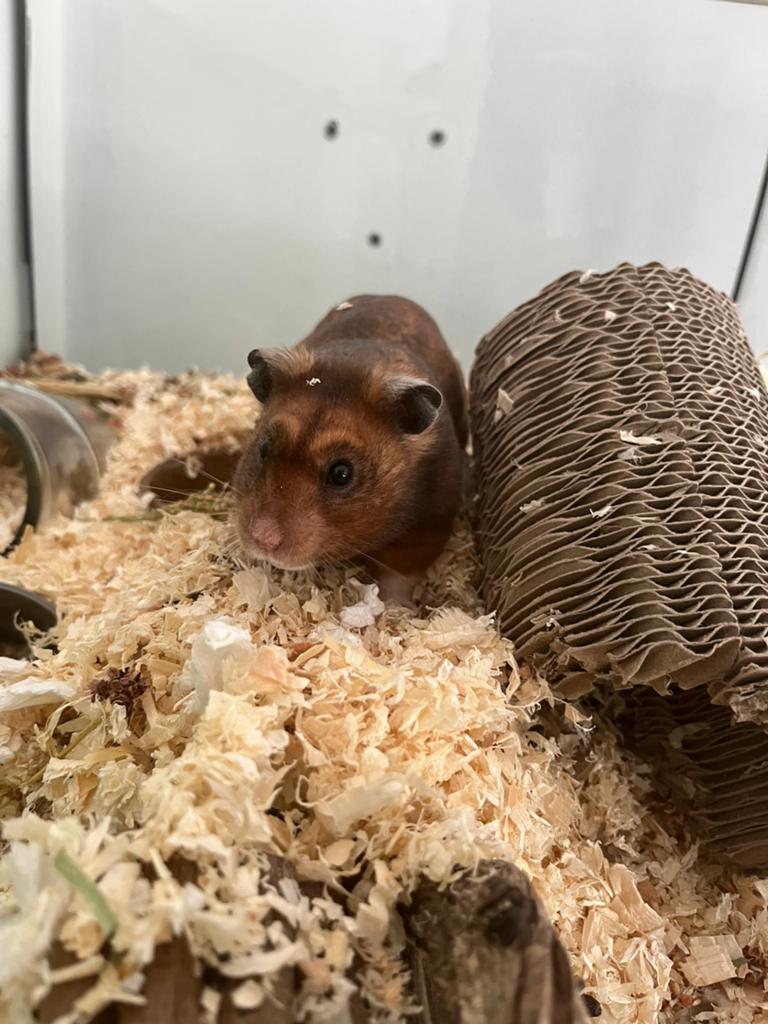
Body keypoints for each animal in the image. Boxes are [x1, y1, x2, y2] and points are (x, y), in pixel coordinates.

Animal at [233, 295, 468, 604]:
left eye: (342, 473)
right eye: (264, 449)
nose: (262, 539)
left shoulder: (427, 527)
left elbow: (399, 577)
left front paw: (394, 608)